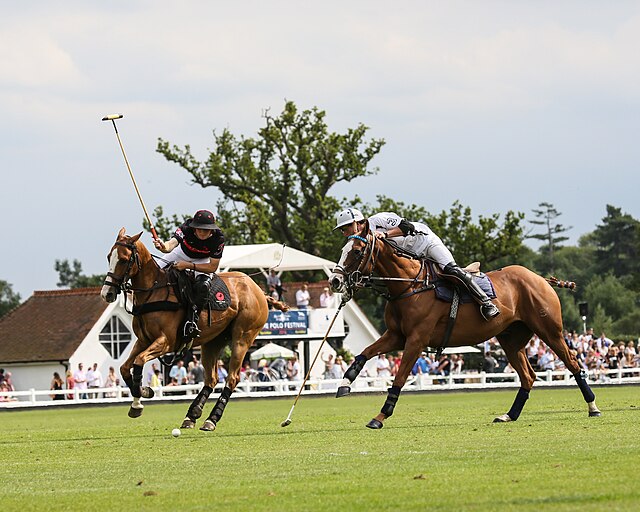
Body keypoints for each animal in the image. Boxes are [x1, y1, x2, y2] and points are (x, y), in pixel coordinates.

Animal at [100, 226, 288, 430]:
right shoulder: (143, 341)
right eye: (108, 257)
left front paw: (141, 397)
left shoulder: (165, 342)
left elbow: (139, 362)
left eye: (124, 259)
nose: (107, 293)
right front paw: (141, 397)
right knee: (211, 378)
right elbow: (126, 368)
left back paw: (211, 419)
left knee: (232, 378)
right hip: (213, 341)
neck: (153, 291)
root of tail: (259, 290)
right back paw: (192, 415)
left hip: (243, 337)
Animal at [330, 226, 600, 430]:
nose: (335, 281)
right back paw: (509, 415)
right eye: (343, 249)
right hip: (511, 339)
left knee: (573, 363)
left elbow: (400, 377)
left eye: (356, 251)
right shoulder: (397, 336)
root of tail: (541, 278)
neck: (409, 285)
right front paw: (345, 383)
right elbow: (364, 353)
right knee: (529, 376)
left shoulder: (416, 340)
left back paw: (593, 407)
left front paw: (380, 417)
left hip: (550, 331)